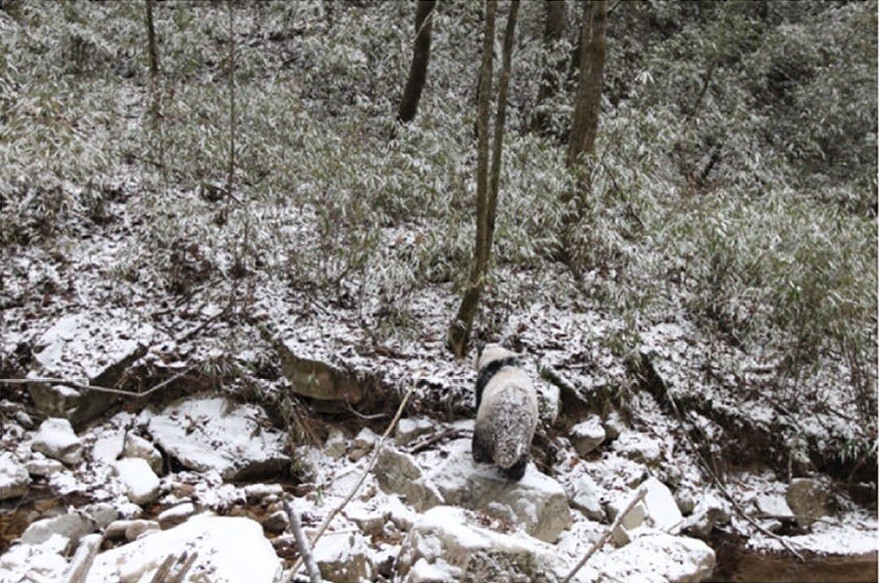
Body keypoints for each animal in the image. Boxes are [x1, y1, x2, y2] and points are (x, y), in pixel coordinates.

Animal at [470, 344, 540, 482]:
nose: (471, 360)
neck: (498, 357)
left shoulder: (485, 378)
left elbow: (478, 397)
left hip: (488, 423)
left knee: (480, 443)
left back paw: (480, 458)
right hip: (526, 435)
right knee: (521, 458)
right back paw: (516, 474)